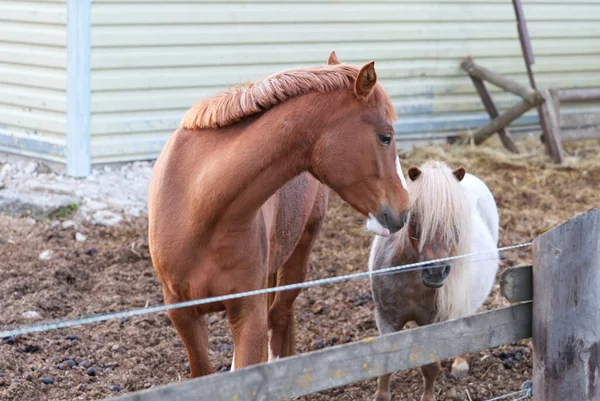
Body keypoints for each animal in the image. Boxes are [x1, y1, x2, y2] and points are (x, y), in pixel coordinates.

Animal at [148, 50, 410, 376]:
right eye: (385, 137)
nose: (404, 209)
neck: (199, 211)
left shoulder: (248, 312)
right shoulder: (182, 314)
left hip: (299, 254)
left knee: (280, 316)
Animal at [368, 159, 500, 400]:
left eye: (457, 221)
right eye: (415, 216)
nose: (436, 271)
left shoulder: (433, 322)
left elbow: (430, 368)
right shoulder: (386, 318)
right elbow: (385, 364)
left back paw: (460, 365)